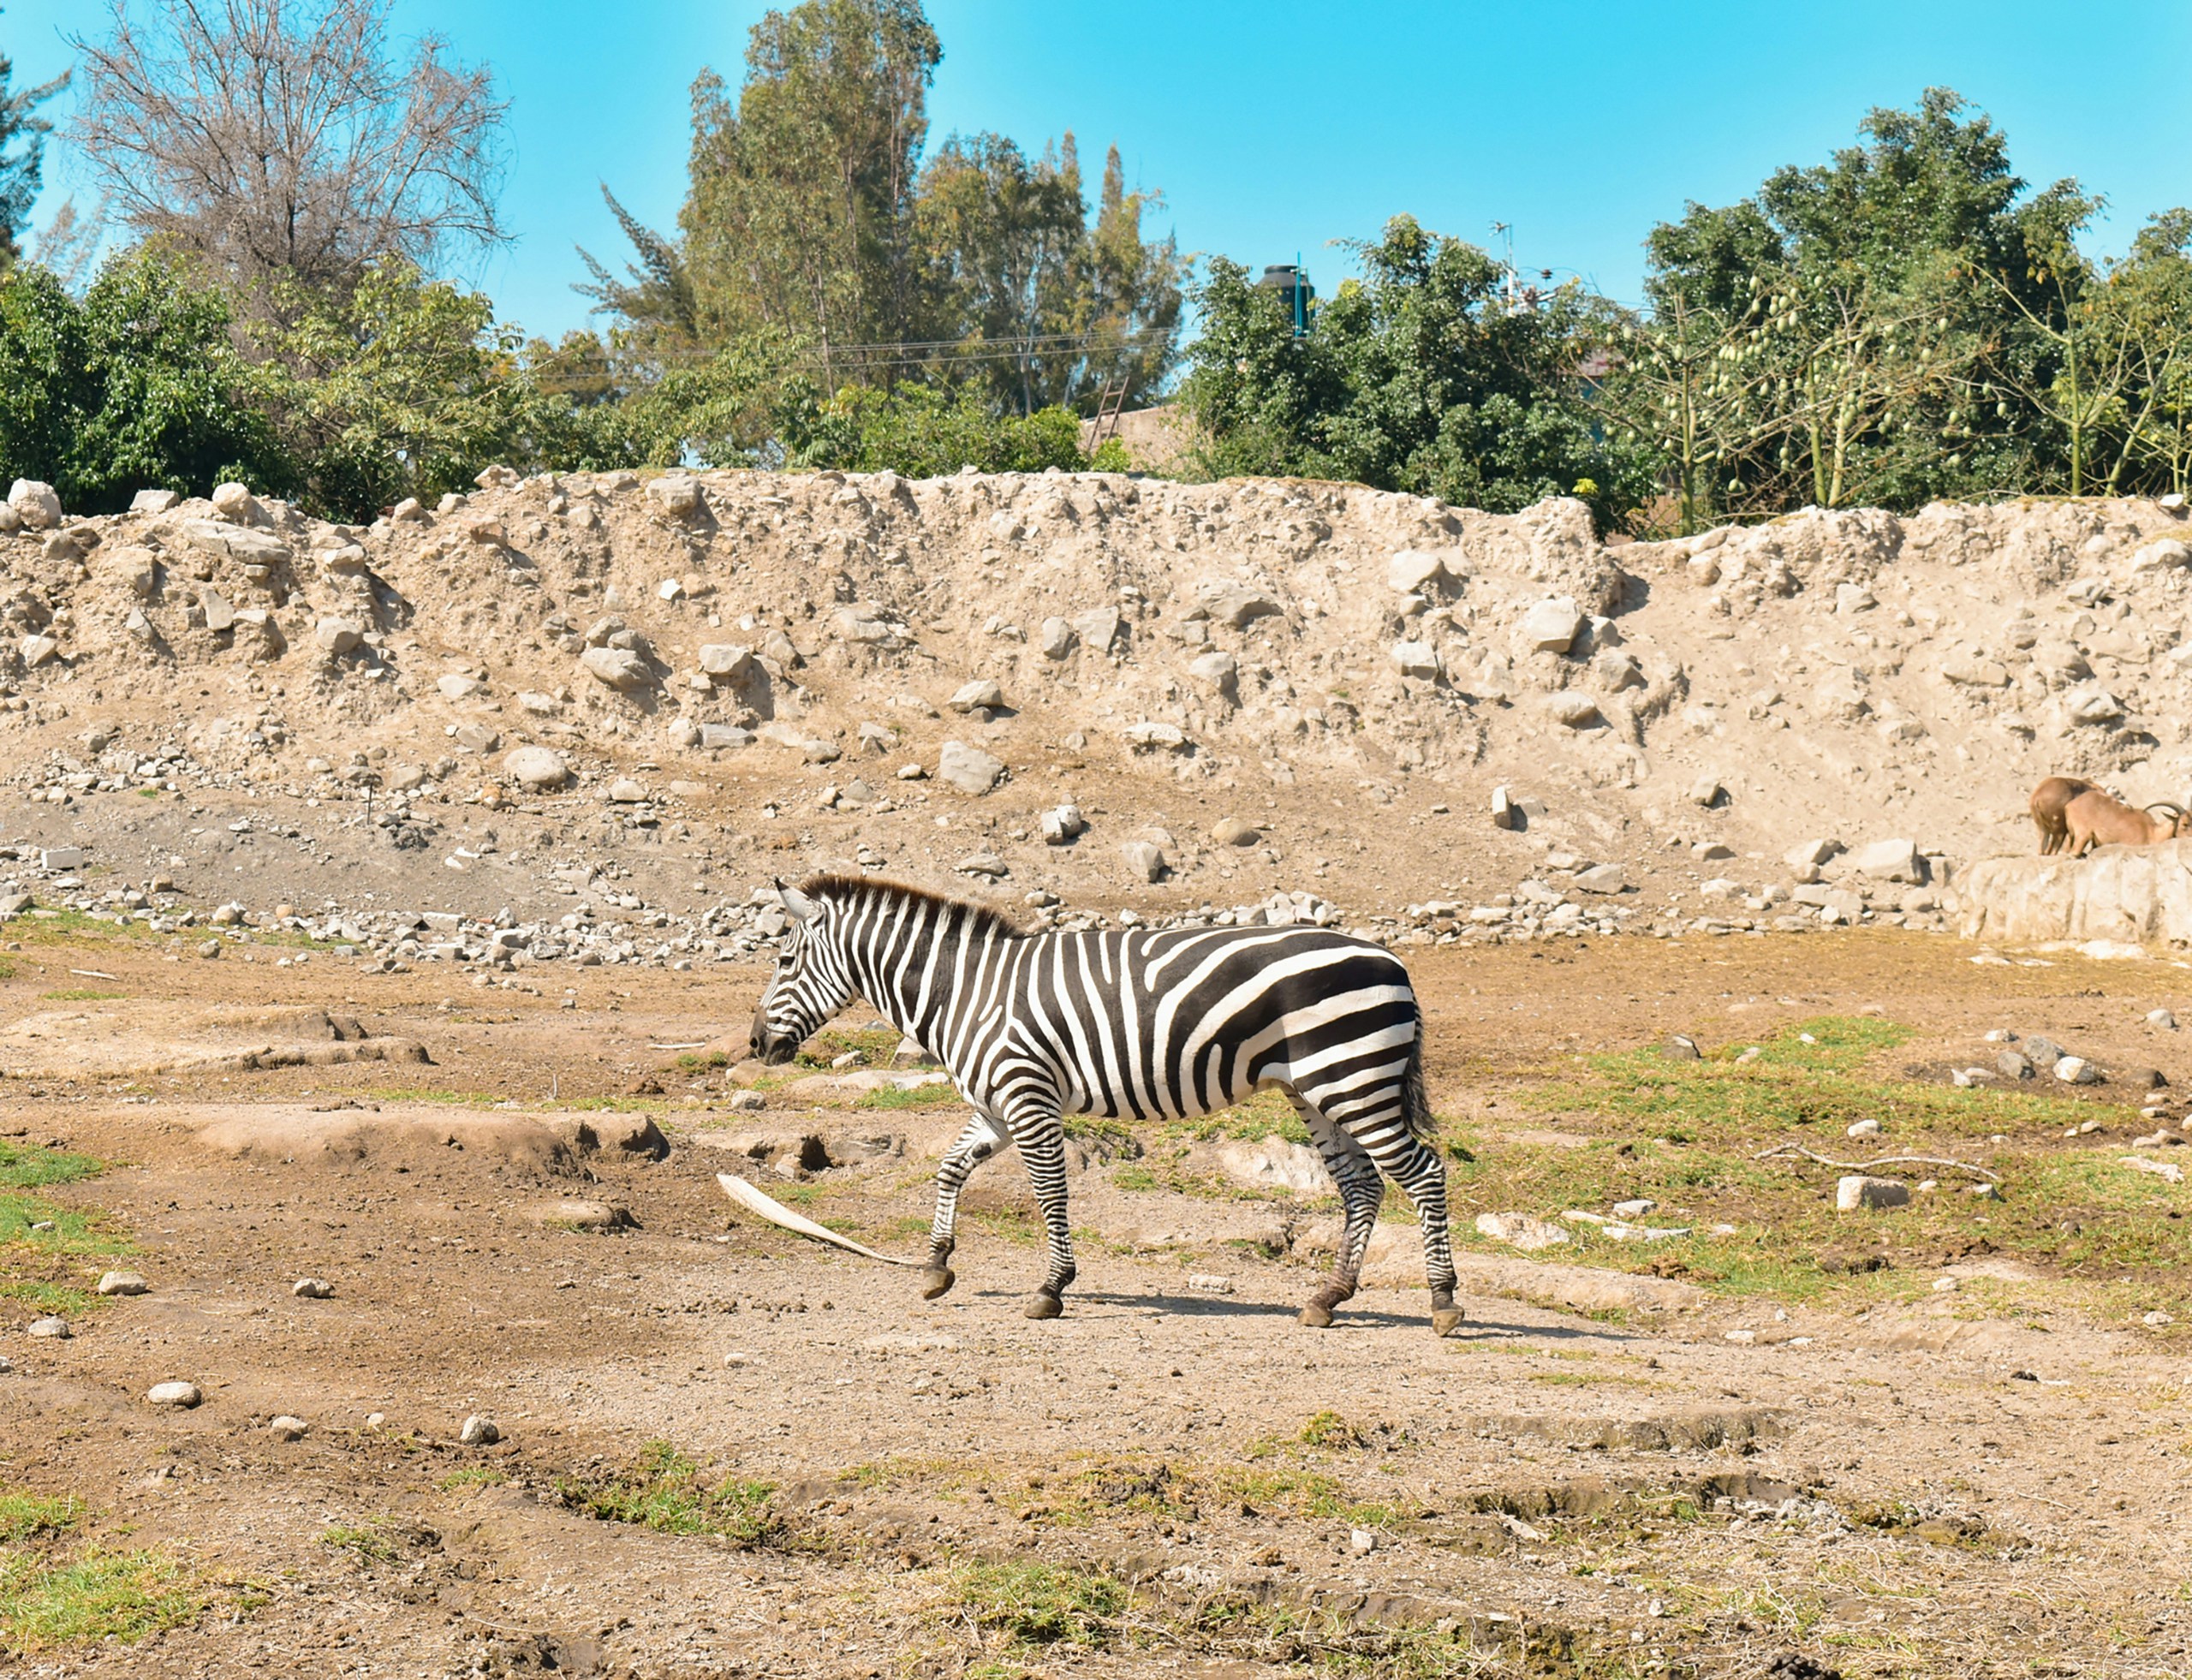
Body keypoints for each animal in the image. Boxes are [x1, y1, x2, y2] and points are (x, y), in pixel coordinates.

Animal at [748, 874, 1463, 1336]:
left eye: (783, 960)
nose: (754, 1044)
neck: (965, 991)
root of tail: (1393, 961)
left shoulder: (1026, 1093)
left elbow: (1049, 1191)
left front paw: (1051, 1287)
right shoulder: (997, 1103)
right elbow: (950, 1168)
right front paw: (936, 1264)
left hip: (1352, 1078)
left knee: (1424, 1174)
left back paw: (1443, 1301)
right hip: (1317, 1090)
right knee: (1363, 1185)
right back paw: (1328, 1297)